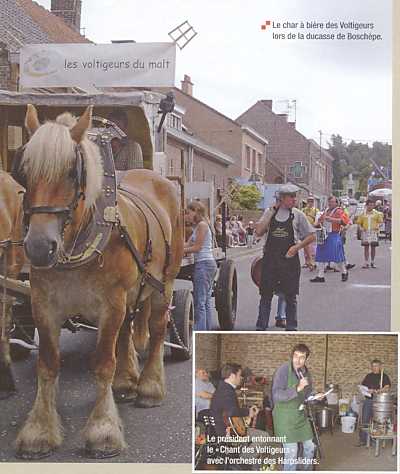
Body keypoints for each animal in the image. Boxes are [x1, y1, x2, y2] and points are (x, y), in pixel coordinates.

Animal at [14, 104, 184, 460]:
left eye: (72, 171)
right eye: (23, 170)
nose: (38, 246)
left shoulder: (111, 303)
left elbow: (103, 363)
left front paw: (103, 430)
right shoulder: (43, 304)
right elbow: (47, 364)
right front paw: (39, 431)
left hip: (165, 283)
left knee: (157, 328)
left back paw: (149, 387)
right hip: (133, 292)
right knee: (128, 328)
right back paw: (126, 382)